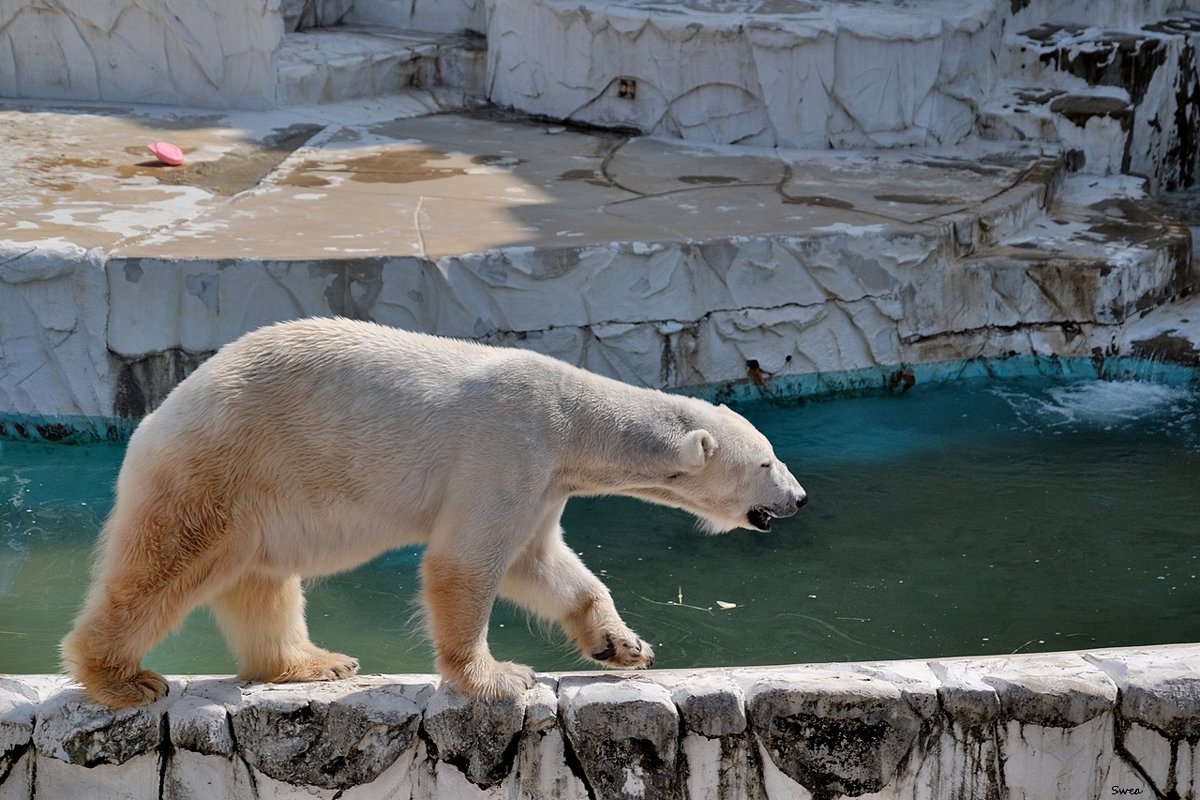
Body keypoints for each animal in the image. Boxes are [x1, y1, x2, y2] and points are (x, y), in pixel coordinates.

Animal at [63, 316, 806, 705]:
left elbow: (542, 563)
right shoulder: (508, 448)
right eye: (767, 461)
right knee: (165, 566)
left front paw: (623, 646)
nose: (799, 498)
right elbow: (465, 563)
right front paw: (500, 677)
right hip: (219, 466)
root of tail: (159, 412)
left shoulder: (544, 481)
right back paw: (122, 679)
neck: (573, 419)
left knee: (263, 583)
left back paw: (313, 663)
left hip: (258, 496)